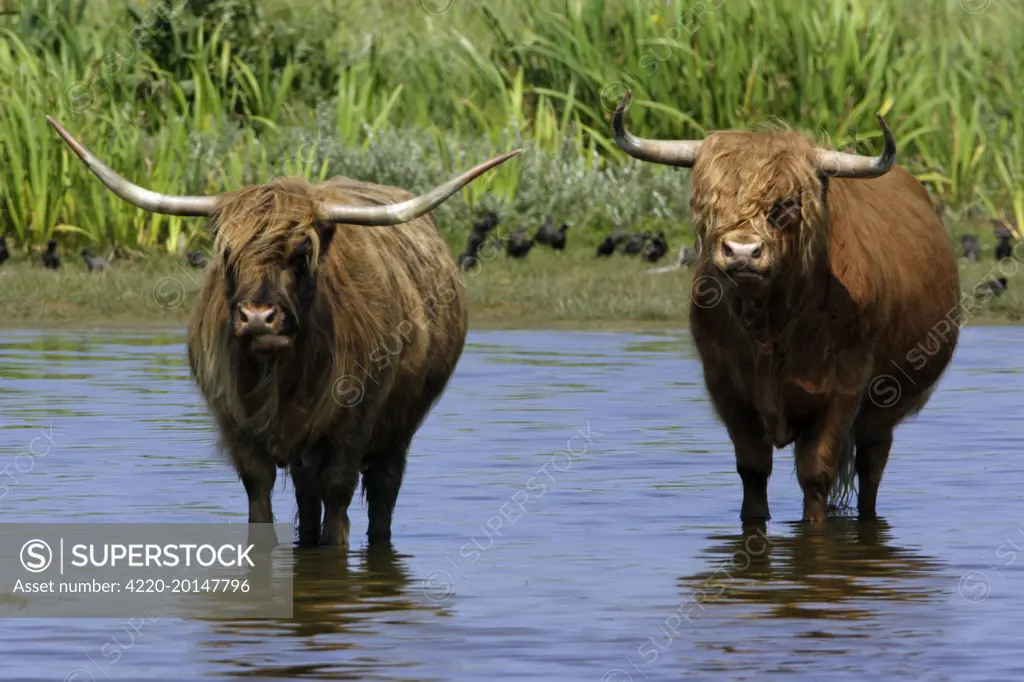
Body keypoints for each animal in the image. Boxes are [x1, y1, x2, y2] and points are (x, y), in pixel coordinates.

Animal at [46, 114, 520, 544]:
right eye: (227, 254)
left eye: (301, 253)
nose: (258, 317)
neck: (280, 374)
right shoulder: (238, 429)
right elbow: (261, 503)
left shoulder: (354, 424)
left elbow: (338, 510)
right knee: (308, 501)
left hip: (397, 430)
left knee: (381, 497)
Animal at [614, 91, 958, 520]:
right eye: (710, 203)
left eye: (787, 204)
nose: (742, 251)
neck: (772, 324)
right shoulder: (726, 388)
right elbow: (752, 471)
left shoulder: (843, 391)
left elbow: (816, 476)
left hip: (884, 410)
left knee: (871, 470)